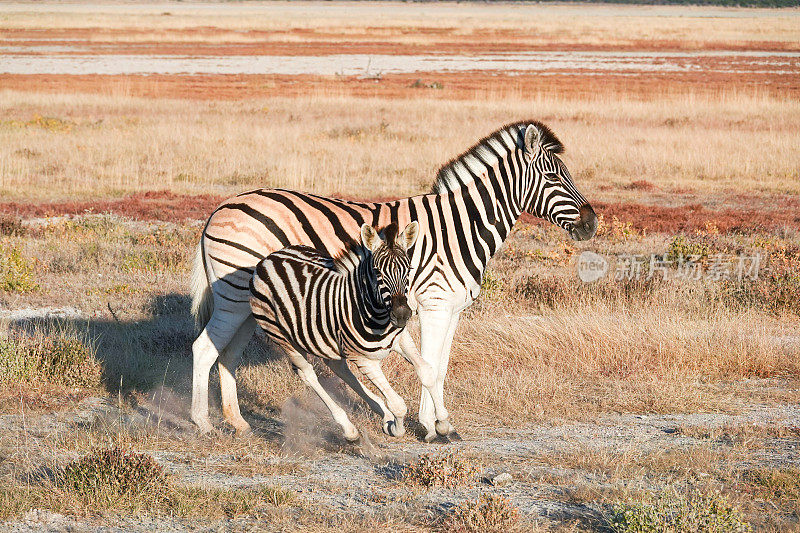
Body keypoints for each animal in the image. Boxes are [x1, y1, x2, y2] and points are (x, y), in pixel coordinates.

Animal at [253, 220, 434, 440]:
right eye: (378, 272)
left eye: (408, 269)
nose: (401, 315)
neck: (377, 313)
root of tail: (269, 258)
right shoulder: (365, 360)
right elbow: (398, 404)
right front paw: (397, 428)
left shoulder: (401, 339)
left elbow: (427, 372)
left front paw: (439, 426)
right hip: (282, 337)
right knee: (309, 375)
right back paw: (349, 429)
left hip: (324, 336)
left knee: (338, 367)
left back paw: (382, 414)